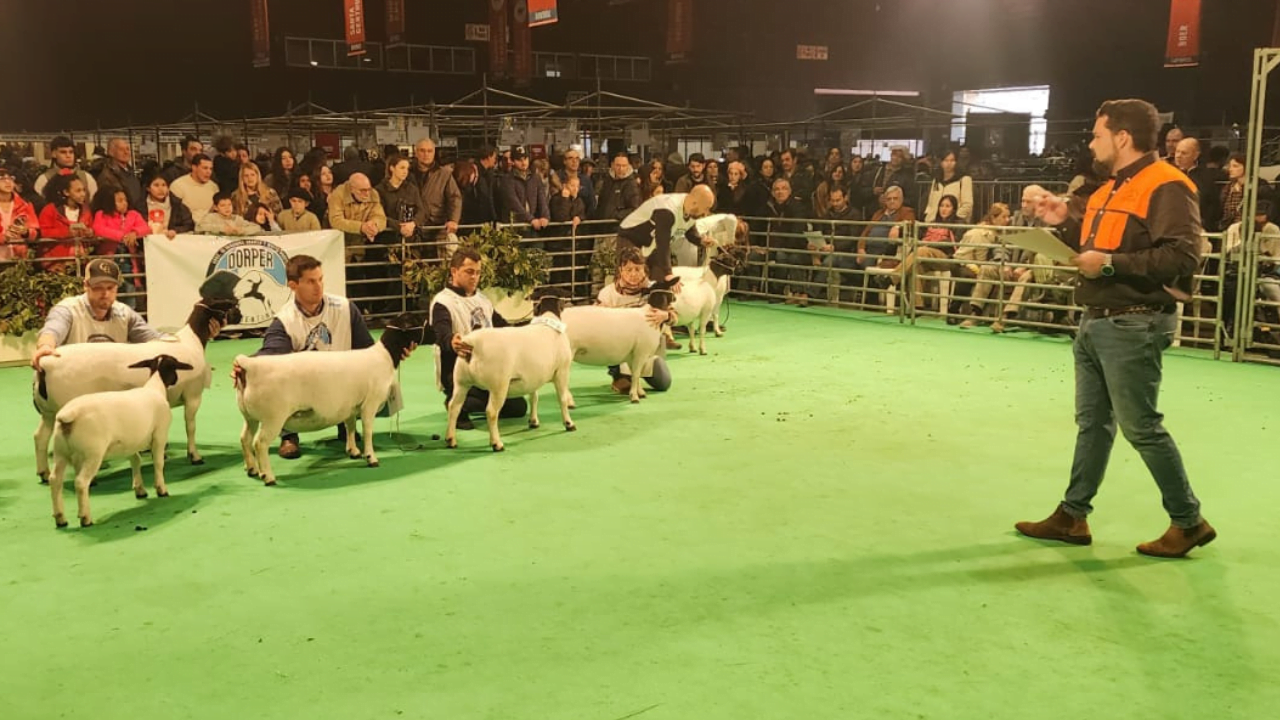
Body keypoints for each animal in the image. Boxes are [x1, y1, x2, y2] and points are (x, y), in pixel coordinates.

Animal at [34, 292, 241, 481]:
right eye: (226, 303)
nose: (239, 315)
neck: (191, 342)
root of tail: (44, 364)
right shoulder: (193, 396)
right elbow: (190, 427)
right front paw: (195, 456)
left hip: (49, 412)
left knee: (40, 437)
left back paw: (43, 473)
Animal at [48, 353, 194, 527]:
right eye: (174, 364)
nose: (176, 380)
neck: (155, 388)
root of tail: (69, 415)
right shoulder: (160, 434)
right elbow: (158, 463)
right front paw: (161, 489)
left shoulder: (130, 443)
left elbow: (136, 461)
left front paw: (140, 490)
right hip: (93, 454)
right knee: (81, 482)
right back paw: (85, 518)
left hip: (60, 452)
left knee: (55, 480)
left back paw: (60, 518)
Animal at [231, 312, 430, 484]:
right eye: (416, 320)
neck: (385, 356)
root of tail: (250, 365)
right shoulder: (369, 404)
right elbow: (367, 431)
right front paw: (371, 458)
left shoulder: (351, 406)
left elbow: (350, 427)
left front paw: (353, 451)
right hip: (273, 417)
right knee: (260, 443)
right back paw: (268, 476)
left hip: (250, 416)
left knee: (245, 438)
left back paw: (252, 469)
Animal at [445, 289, 576, 448]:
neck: (548, 322)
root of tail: (472, 342)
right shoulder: (562, 371)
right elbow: (562, 399)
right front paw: (569, 424)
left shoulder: (533, 378)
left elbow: (534, 398)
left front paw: (533, 422)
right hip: (498, 384)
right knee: (491, 412)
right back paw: (497, 444)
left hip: (461, 382)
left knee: (454, 406)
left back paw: (451, 440)